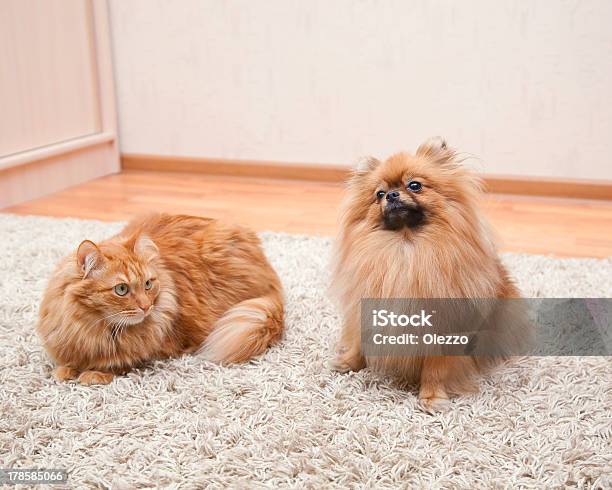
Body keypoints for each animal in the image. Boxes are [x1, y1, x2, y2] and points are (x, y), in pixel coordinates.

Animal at [330, 136, 520, 412]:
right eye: (379, 194)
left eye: (415, 185)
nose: (392, 194)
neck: (406, 248)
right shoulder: (365, 307)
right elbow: (358, 341)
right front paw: (348, 362)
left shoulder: (443, 328)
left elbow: (436, 367)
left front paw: (432, 397)